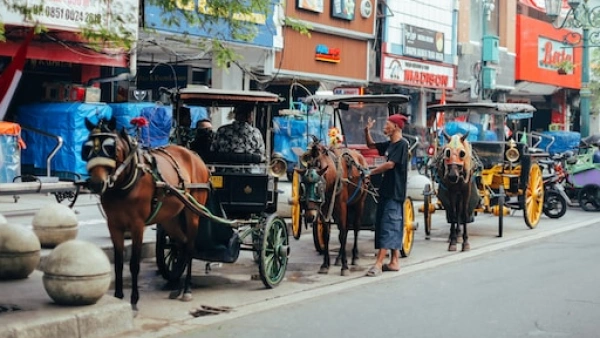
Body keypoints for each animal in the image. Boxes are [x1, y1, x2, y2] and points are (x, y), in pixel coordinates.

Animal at [82, 117, 209, 310]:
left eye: (111, 148)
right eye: (87, 148)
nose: (96, 184)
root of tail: (195, 156)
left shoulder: (137, 226)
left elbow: (134, 264)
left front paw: (134, 300)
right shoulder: (114, 225)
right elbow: (119, 263)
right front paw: (119, 296)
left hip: (193, 212)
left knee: (189, 248)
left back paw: (187, 289)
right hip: (170, 218)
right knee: (180, 244)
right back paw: (176, 285)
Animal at [296, 139, 370, 276]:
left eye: (318, 188)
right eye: (302, 187)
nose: (309, 217)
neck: (333, 175)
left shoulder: (341, 206)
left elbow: (342, 235)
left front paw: (345, 266)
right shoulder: (325, 208)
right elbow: (327, 234)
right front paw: (325, 264)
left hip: (359, 202)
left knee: (355, 227)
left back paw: (355, 256)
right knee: (345, 228)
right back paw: (339, 258)